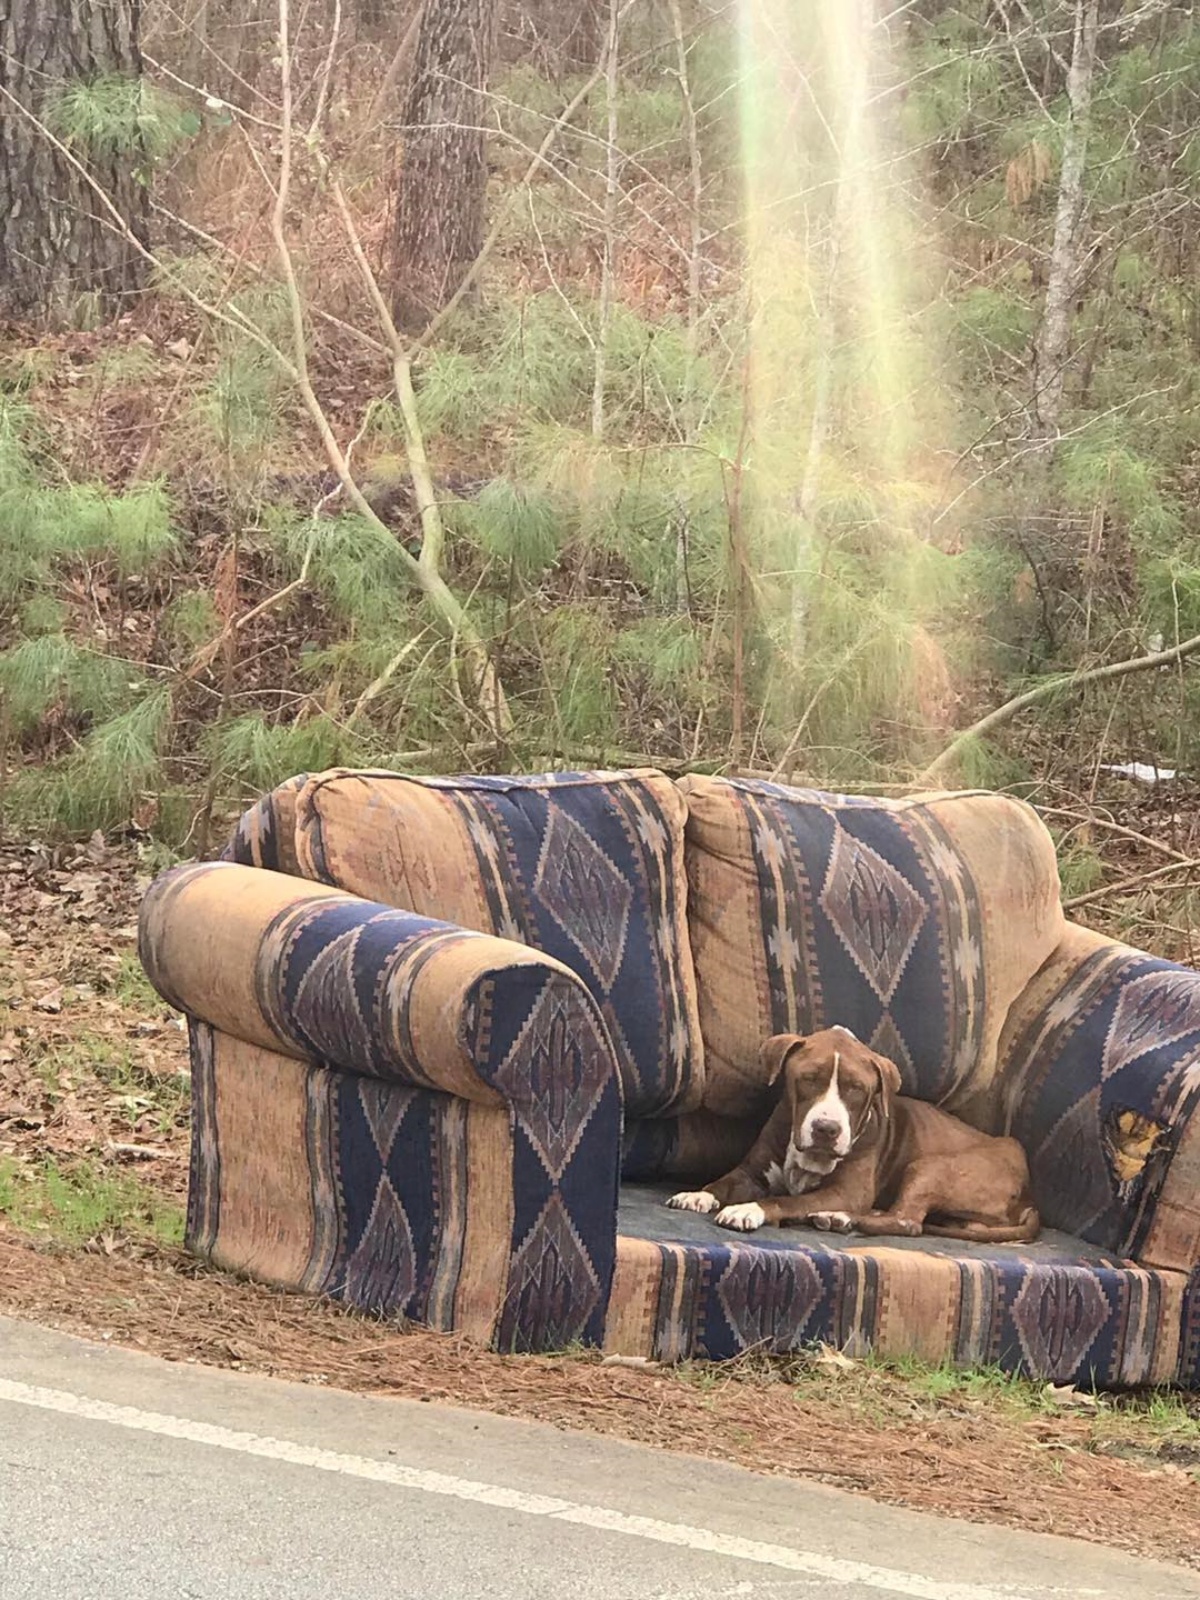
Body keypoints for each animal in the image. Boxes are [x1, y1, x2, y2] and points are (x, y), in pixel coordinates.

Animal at [668, 1030, 1043, 1241]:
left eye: (857, 1089)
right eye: (808, 1078)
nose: (826, 1129)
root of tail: (1029, 1192)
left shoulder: (845, 1192)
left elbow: (789, 1200)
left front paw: (749, 1209)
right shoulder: (752, 1172)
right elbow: (723, 1182)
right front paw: (698, 1195)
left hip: (930, 1167)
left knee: (909, 1221)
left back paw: (841, 1218)